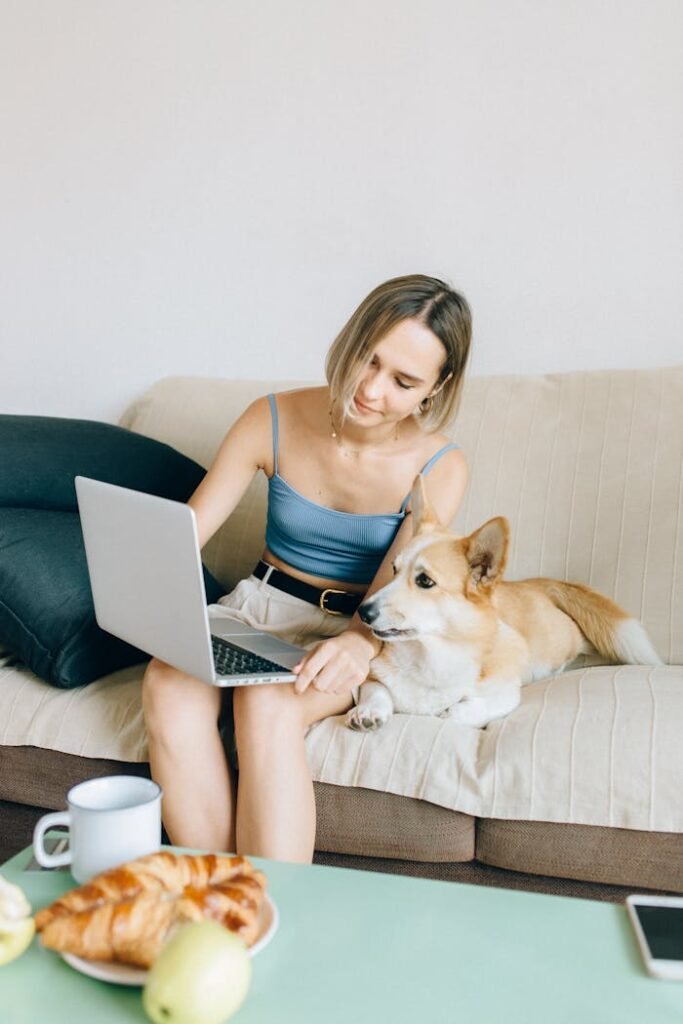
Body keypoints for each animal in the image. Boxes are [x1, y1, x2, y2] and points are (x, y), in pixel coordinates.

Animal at [348, 475, 663, 733]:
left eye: (425, 581)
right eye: (393, 569)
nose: (363, 612)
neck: (431, 653)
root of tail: (536, 583)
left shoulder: (505, 693)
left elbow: (466, 709)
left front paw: (451, 712)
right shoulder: (373, 679)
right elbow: (377, 690)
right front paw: (369, 712)